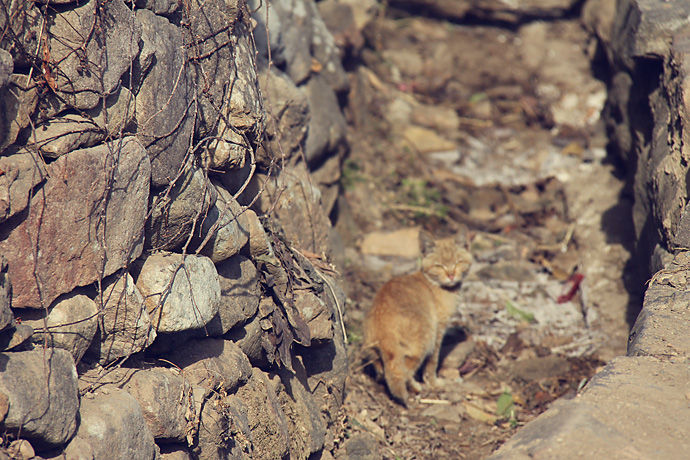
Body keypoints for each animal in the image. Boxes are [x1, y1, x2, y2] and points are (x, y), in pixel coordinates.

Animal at [362, 228, 470, 404]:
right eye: (439, 266)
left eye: (459, 263)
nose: (451, 275)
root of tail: (383, 319)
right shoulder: (438, 330)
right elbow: (432, 362)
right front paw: (433, 382)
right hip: (425, 341)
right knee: (406, 371)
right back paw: (415, 386)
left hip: (373, 349)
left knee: (384, 368)